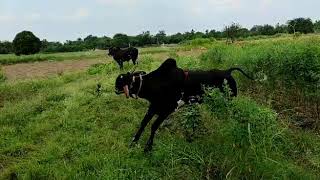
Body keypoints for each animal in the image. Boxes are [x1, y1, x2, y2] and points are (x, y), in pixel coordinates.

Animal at [115, 58, 255, 153]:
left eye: (122, 81)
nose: (115, 89)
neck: (157, 82)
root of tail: (227, 72)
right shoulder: (154, 107)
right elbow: (143, 124)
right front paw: (133, 143)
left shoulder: (168, 109)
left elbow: (153, 126)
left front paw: (148, 147)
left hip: (229, 100)